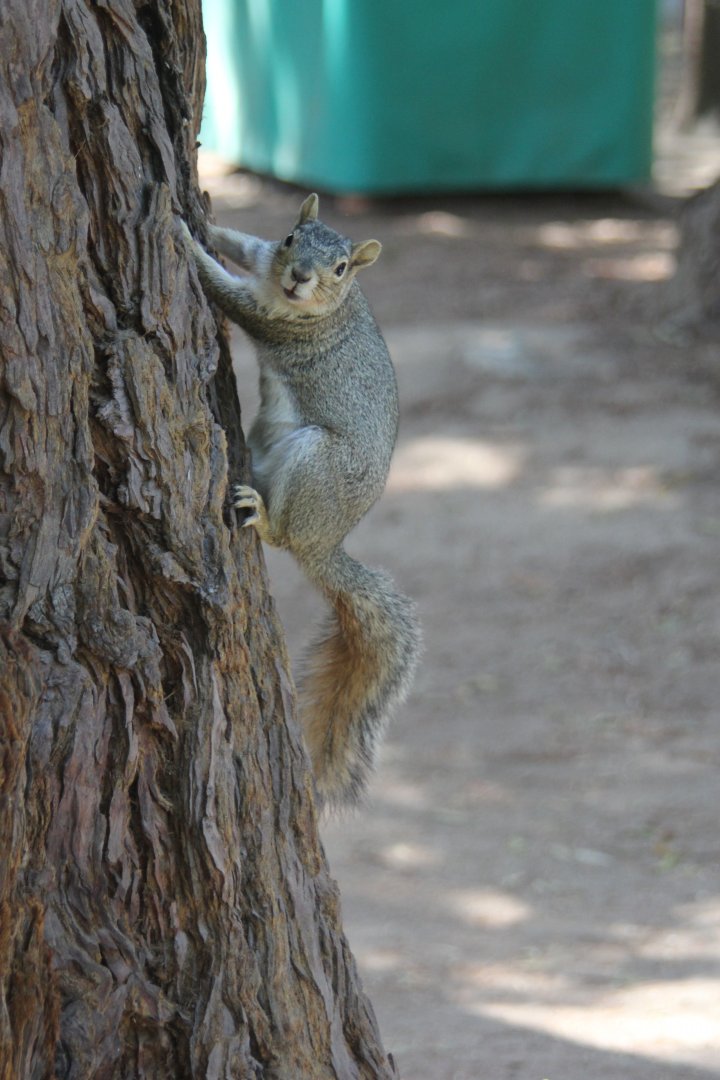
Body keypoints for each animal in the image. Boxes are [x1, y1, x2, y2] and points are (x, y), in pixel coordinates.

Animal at [182, 194, 420, 808]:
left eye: (341, 268)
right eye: (292, 239)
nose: (300, 277)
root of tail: (326, 542)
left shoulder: (282, 324)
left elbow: (229, 294)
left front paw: (184, 239)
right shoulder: (264, 260)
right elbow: (244, 247)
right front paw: (207, 224)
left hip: (313, 463)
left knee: (284, 537)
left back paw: (264, 517)